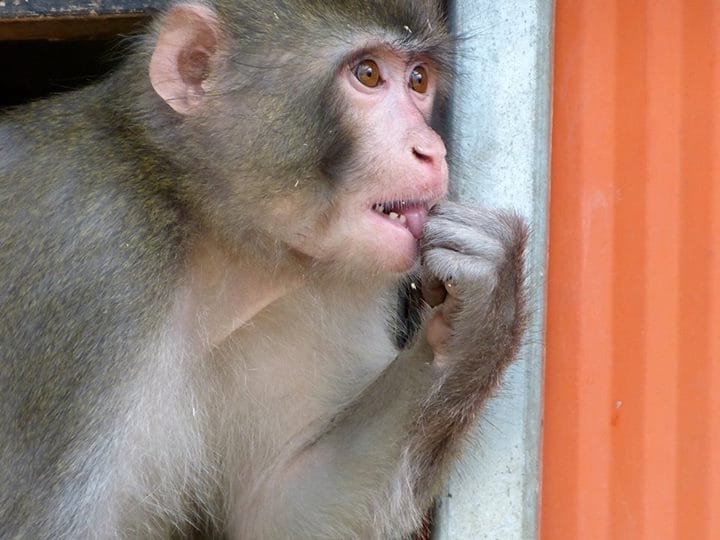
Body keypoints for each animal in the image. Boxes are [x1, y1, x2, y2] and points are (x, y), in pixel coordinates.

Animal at [0, 1, 527, 538]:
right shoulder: (96, 256)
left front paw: (481, 313)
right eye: (368, 74)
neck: (212, 231)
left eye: (419, 79)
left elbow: (280, 504)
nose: (432, 150)